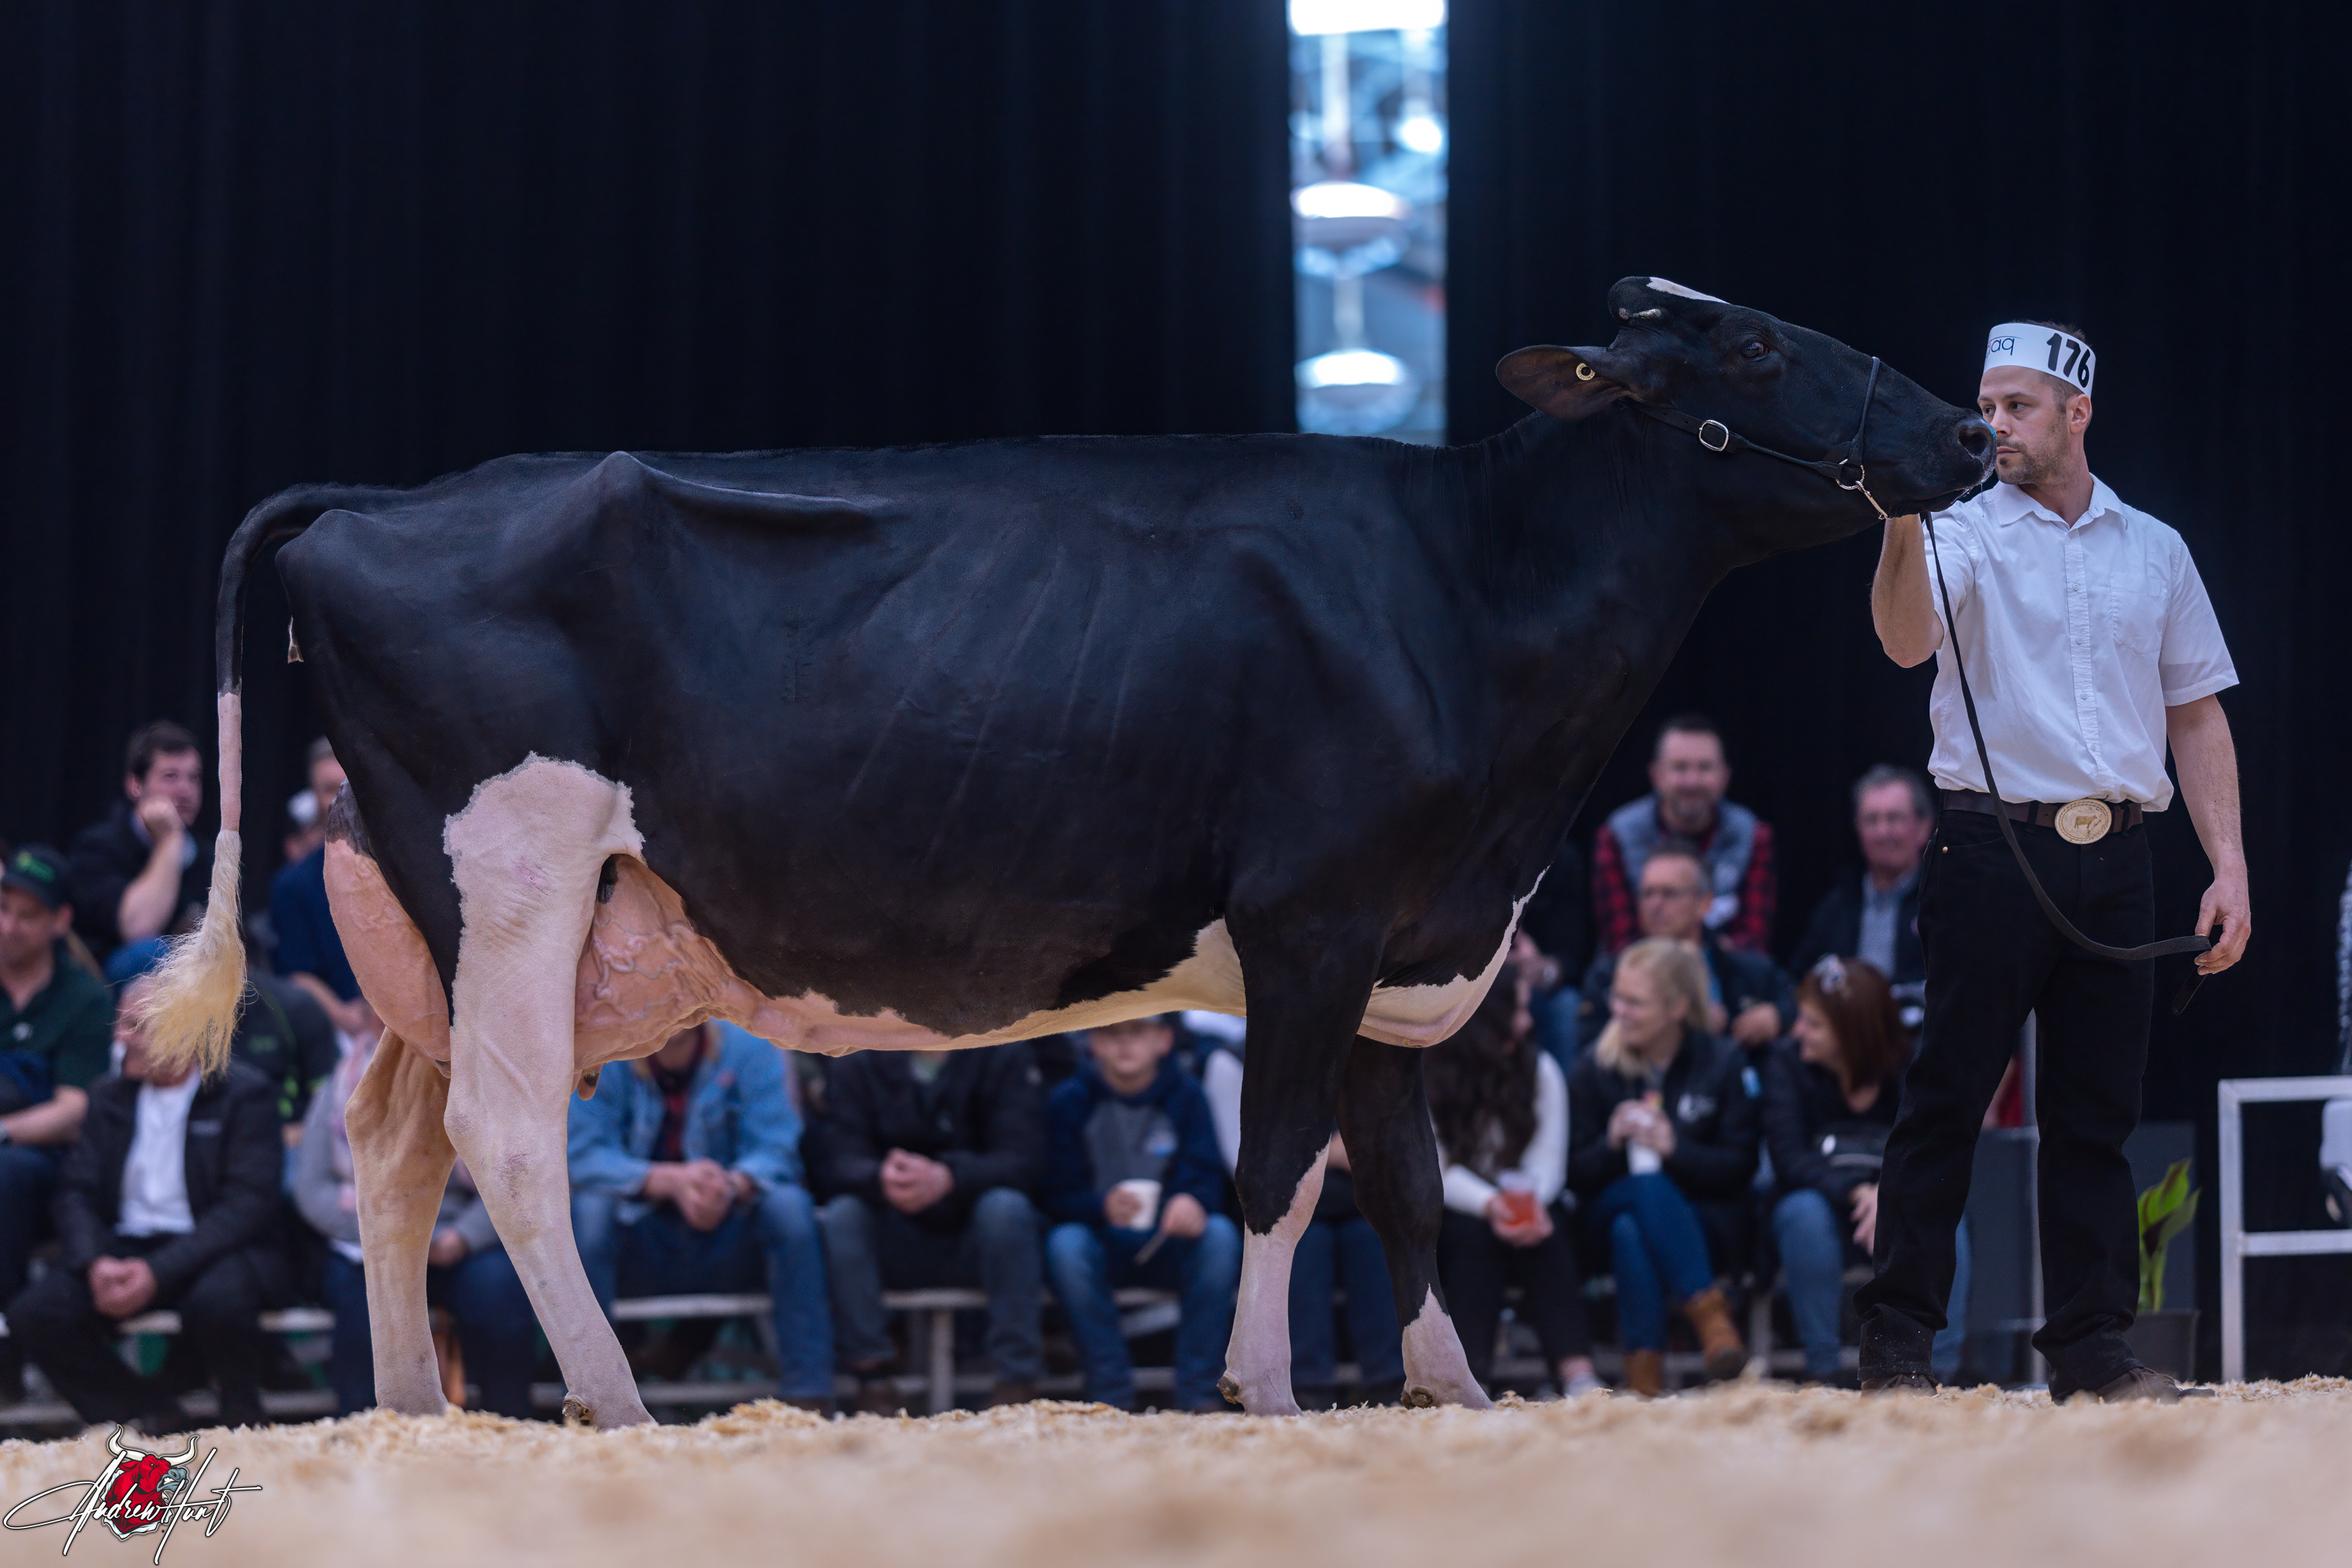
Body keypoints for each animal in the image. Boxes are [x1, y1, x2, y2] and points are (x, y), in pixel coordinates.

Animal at [142, 277, 1990, 1425]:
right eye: (1748, 352)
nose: (1970, 432)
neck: (1470, 597)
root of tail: (385, 502)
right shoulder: (1314, 921)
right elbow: (1280, 1169)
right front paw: (1264, 1387)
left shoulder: (1409, 946)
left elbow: (1399, 1182)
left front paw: (1458, 1392)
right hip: (516, 878)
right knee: (505, 1137)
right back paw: (606, 1398)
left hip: (444, 931)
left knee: (391, 1142)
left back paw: (413, 1408)